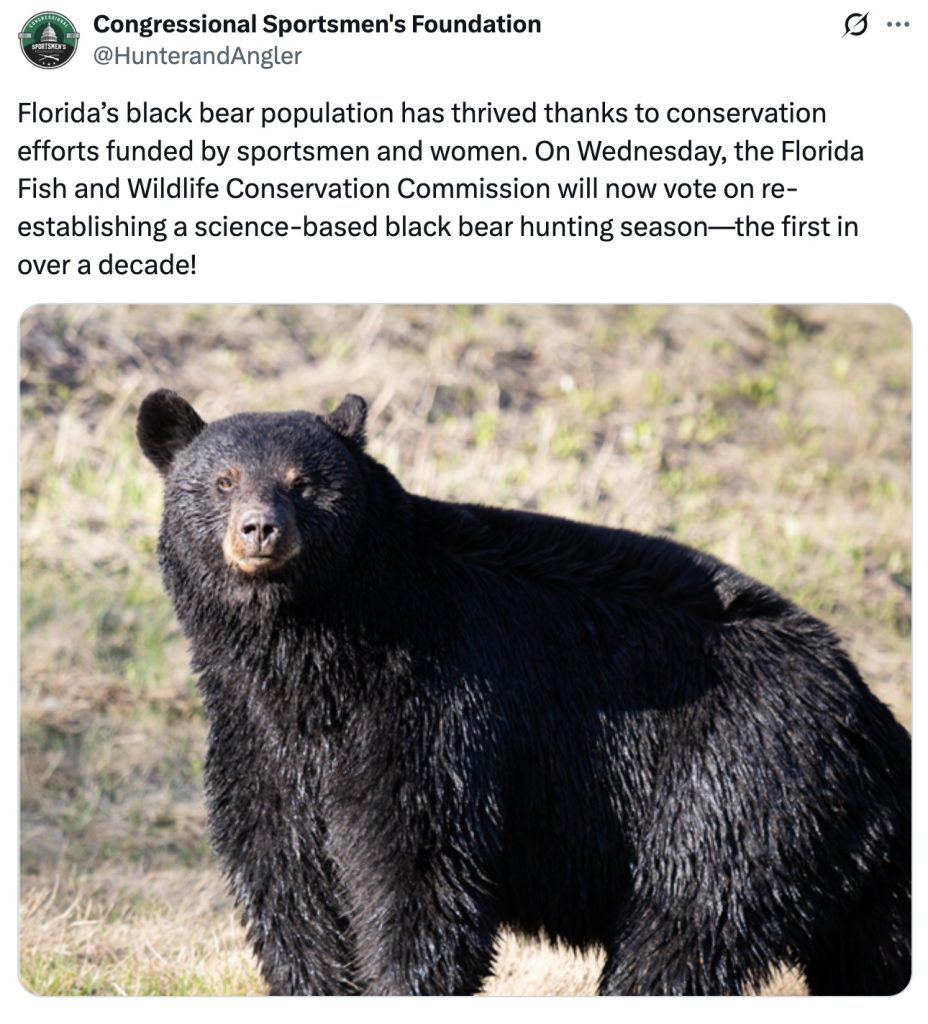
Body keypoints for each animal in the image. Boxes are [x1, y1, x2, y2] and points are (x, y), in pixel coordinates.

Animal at [137, 388, 910, 996]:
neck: (313, 662)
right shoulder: (256, 739)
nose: (260, 529)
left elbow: (420, 868)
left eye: (303, 483)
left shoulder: (435, 705)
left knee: (683, 930)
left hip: (733, 788)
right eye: (223, 481)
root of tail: (872, 719)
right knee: (873, 954)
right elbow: (288, 882)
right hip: (859, 867)